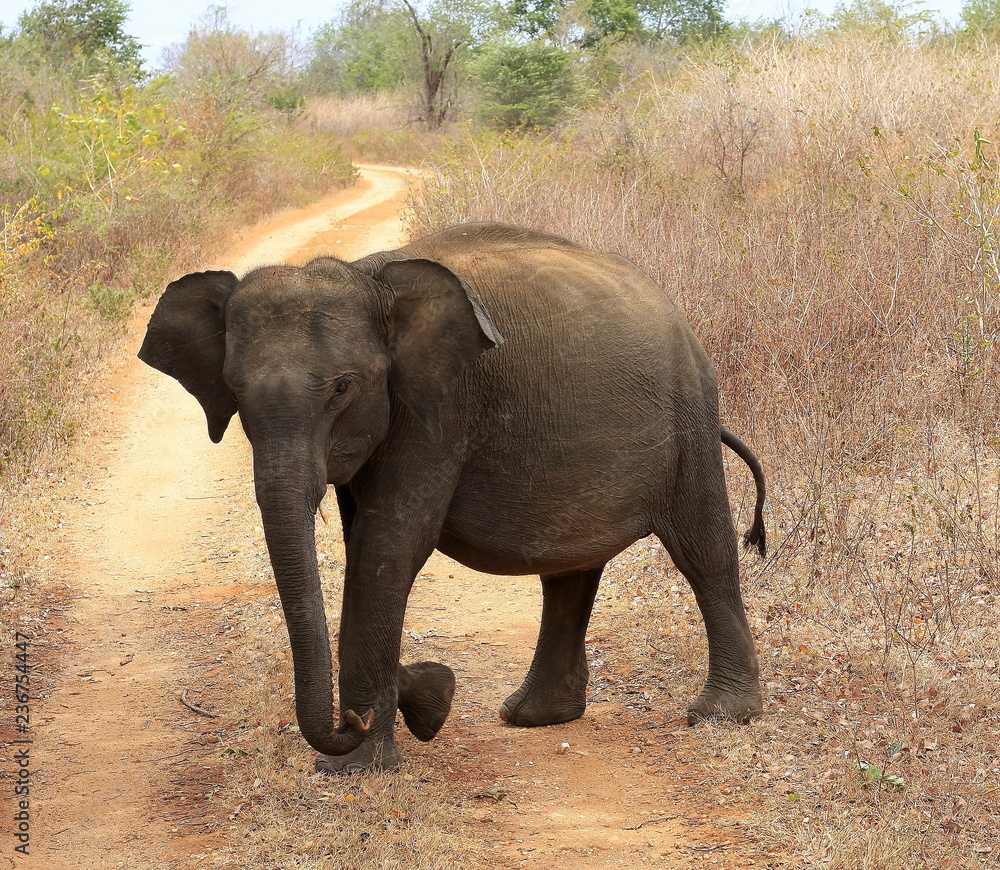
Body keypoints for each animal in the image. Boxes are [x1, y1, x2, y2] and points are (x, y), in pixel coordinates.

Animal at [138, 222, 767, 773]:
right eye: (234, 392)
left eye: (342, 388)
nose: (353, 723)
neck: (369, 277)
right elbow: (363, 547)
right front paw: (425, 701)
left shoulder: (441, 406)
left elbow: (387, 549)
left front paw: (359, 766)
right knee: (570, 571)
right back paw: (534, 717)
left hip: (689, 419)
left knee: (704, 552)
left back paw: (721, 716)